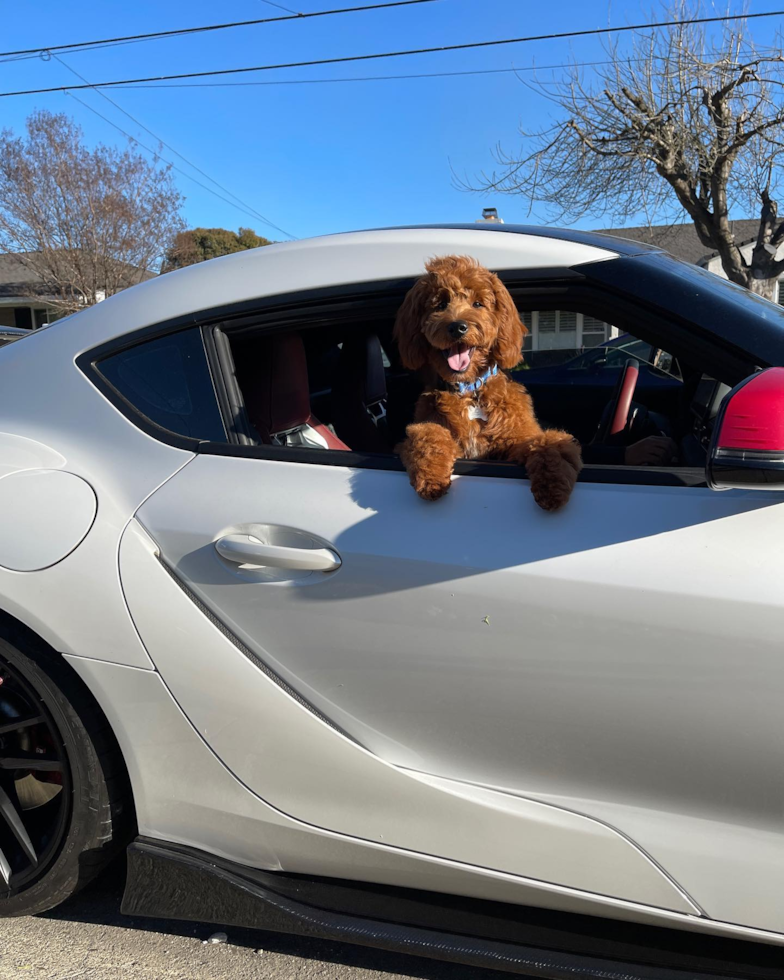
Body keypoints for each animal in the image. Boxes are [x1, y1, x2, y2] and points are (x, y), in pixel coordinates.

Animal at [392, 253, 580, 512]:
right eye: (440, 304)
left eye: (478, 304)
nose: (457, 327)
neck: (468, 390)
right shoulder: (421, 433)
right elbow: (427, 434)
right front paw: (431, 478)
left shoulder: (515, 439)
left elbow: (548, 443)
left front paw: (553, 485)